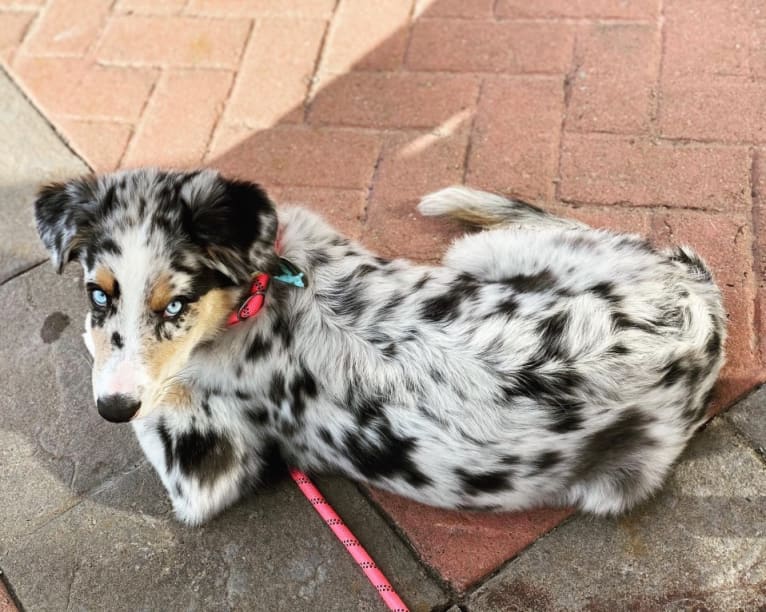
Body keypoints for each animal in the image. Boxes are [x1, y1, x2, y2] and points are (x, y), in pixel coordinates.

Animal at [34, 169, 728, 524]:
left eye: (175, 305)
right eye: (98, 294)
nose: (108, 409)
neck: (261, 292)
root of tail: (693, 305)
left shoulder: (204, 467)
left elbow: (151, 396)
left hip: (482, 258)